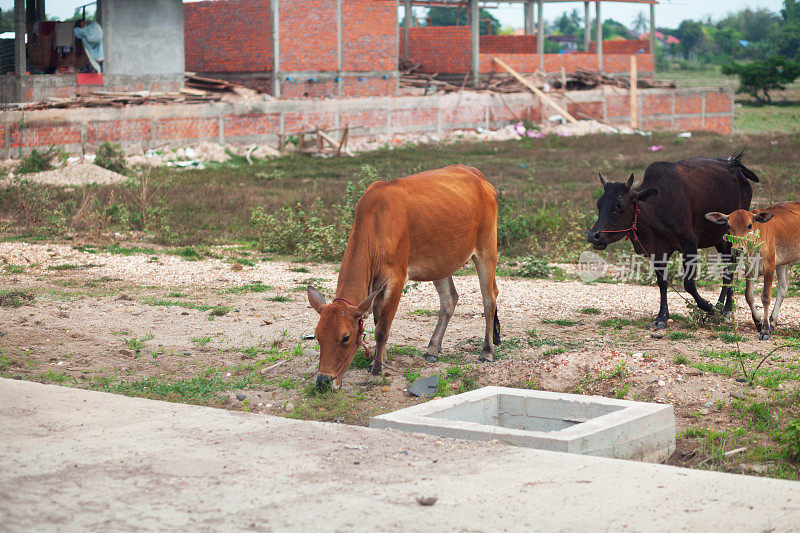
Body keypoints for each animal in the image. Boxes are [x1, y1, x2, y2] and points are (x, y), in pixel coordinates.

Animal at [308, 164, 500, 388]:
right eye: (317, 336)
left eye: (345, 337)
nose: (323, 379)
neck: (375, 227)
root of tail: (476, 174)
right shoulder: (377, 288)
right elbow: (378, 321)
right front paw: (380, 359)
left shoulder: (396, 280)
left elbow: (382, 329)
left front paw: (378, 368)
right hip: (441, 261)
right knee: (449, 299)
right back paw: (433, 349)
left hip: (486, 250)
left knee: (489, 299)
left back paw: (487, 351)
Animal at [588, 148, 764, 326]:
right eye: (598, 204)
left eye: (619, 206)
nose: (593, 236)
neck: (657, 206)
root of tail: (733, 164)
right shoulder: (656, 251)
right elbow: (662, 282)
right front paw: (662, 317)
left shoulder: (690, 244)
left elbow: (689, 284)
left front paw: (709, 308)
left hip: (730, 237)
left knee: (730, 268)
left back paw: (725, 309)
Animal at [708, 202, 800, 338]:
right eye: (728, 226)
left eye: (750, 225)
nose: (737, 249)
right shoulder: (750, 269)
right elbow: (749, 296)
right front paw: (758, 323)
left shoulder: (769, 267)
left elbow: (766, 297)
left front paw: (765, 330)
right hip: (782, 263)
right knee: (783, 287)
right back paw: (773, 321)